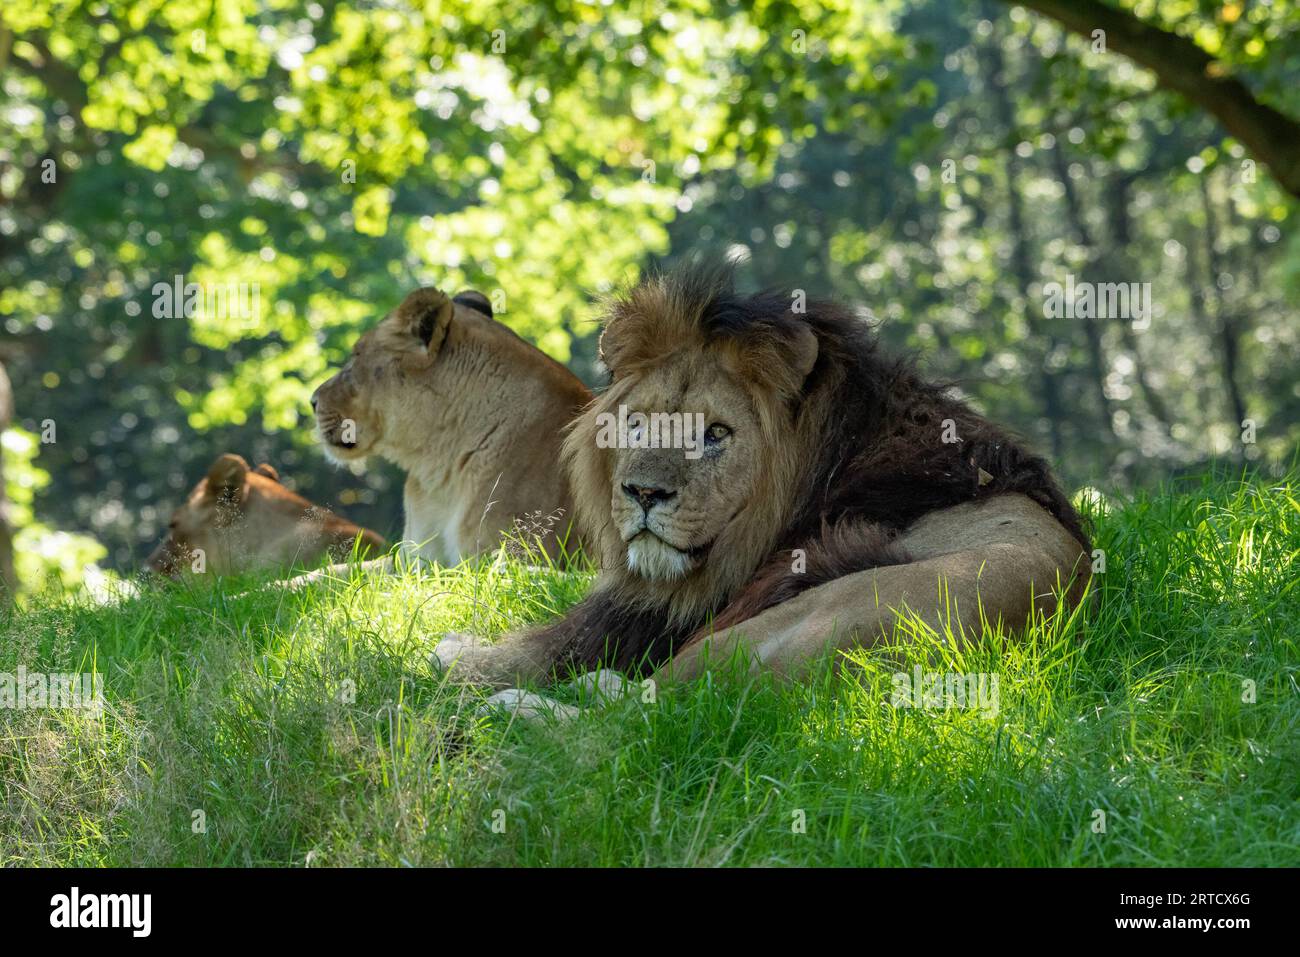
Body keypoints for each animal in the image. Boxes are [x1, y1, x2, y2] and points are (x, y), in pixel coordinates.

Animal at [431, 257, 1092, 691]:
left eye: (716, 434)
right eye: (638, 426)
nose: (643, 492)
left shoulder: (656, 615)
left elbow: (531, 649)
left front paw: (454, 655)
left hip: (777, 624)